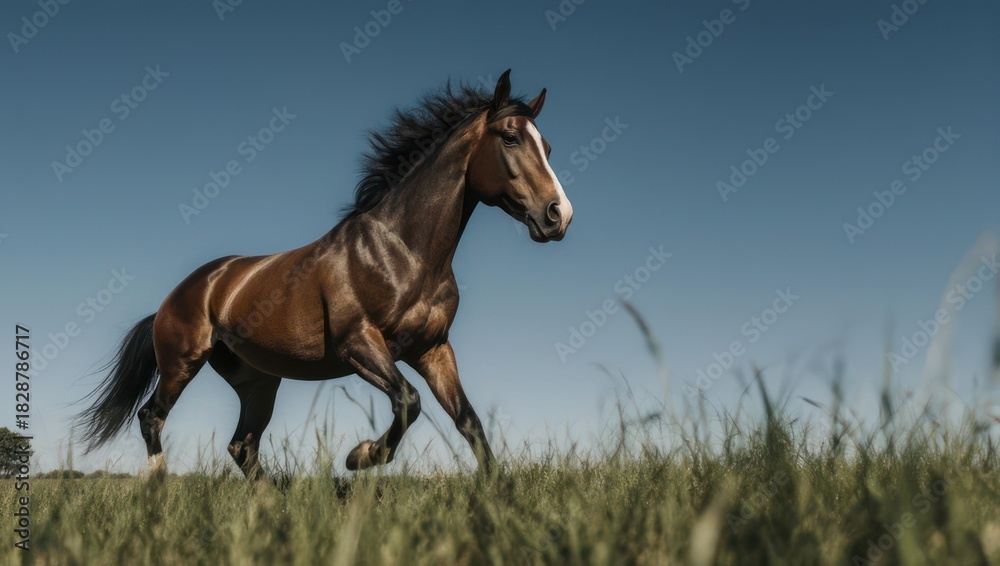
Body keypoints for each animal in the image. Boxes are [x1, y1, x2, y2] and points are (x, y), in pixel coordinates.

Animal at [76, 70, 573, 480]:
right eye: (510, 138)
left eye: (547, 147)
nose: (559, 215)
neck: (402, 252)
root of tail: (179, 294)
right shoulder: (359, 344)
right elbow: (408, 402)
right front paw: (361, 456)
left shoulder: (432, 349)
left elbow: (468, 422)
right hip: (181, 363)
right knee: (152, 418)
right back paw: (158, 484)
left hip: (258, 381)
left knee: (242, 446)